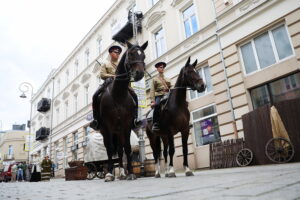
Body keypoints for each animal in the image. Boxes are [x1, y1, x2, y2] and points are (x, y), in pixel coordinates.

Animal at [97, 41, 148, 181]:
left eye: (144, 56)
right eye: (130, 54)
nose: (139, 73)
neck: (118, 95)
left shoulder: (127, 125)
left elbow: (127, 147)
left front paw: (130, 172)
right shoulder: (108, 126)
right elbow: (110, 149)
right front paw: (109, 173)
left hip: (119, 132)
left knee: (120, 150)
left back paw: (121, 173)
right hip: (105, 131)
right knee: (110, 148)